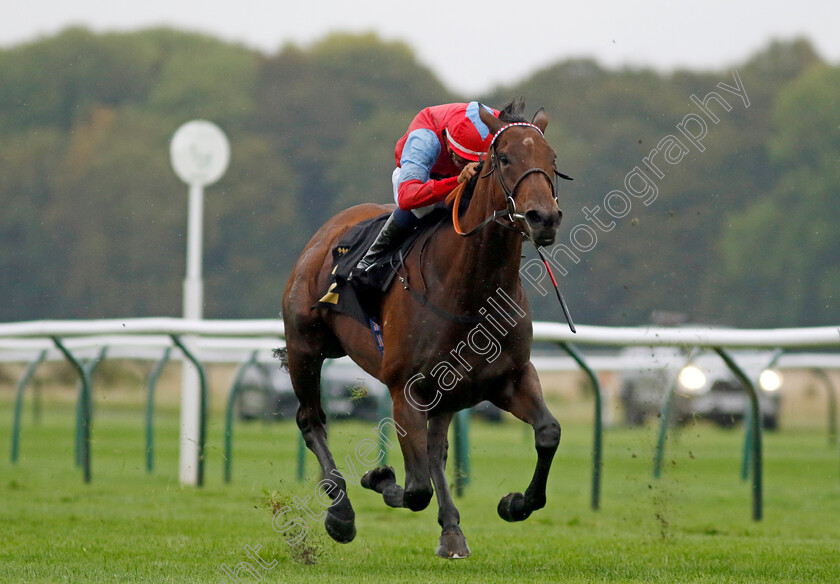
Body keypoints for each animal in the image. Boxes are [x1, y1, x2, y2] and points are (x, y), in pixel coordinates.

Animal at [282, 102, 564, 560]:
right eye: (504, 159)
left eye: (551, 159)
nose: (545, 218)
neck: (470, 291)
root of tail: (327, 231)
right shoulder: (405, 390)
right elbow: (414, 489)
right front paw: (377, 478)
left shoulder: (510, 379)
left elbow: (548, 433)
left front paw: (514, 503)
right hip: (303, 347)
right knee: (311, 420)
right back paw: (341, 513)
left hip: (446, 392)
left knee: (436, 450)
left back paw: (451, 531)